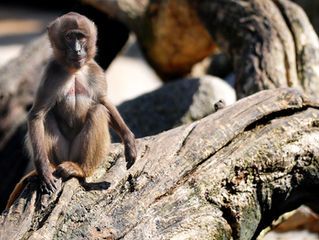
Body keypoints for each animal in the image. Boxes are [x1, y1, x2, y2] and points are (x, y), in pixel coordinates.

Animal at [5, 12, 137, 209]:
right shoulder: (51, 74)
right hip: (61, 152)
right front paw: (44, 171)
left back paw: (80, 170)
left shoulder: (95, 71)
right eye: (69, 37)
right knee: (47, 118)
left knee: (97, 111)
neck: (74, 70)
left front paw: (129, 142)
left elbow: (104, 102)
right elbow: (37, 115)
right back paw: (51, 167)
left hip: (76, 152)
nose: (77, 50)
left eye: (81, 37)